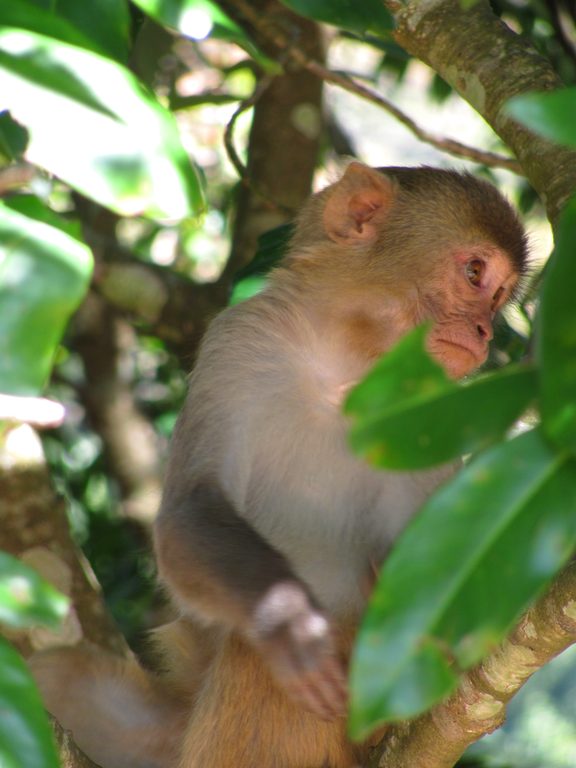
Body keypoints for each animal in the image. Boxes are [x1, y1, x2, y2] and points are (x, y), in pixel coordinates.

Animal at [29, 165, 528, 768]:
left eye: (498, 297)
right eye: (476, 274)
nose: (485, 332)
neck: (346, 365)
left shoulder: (440, 404)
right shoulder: (239, 339)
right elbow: (191, 512)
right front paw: (289, 623)